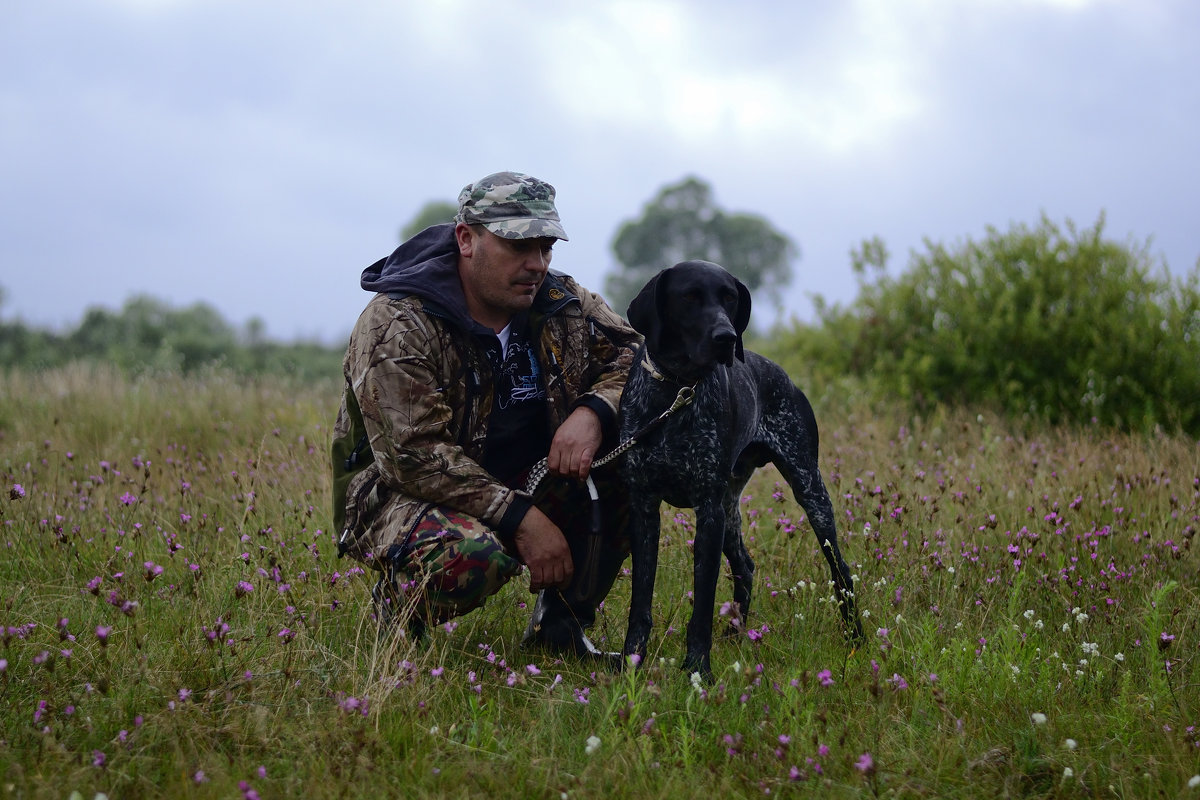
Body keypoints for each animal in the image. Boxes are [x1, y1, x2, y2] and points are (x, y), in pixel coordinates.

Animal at [619, 261, 864, 676]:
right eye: (689, 296)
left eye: (729, 298)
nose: (726, 337)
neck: (676, 391)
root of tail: (784, 376)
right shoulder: (643, 506)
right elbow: (641, 601)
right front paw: (629, 663)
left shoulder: (708, 511)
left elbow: (702, 605)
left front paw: (697, 669)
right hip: (730, 510)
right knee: (745, 566)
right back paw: (736, 635)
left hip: (807, 489)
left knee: (841, 570)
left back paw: (856, 640)